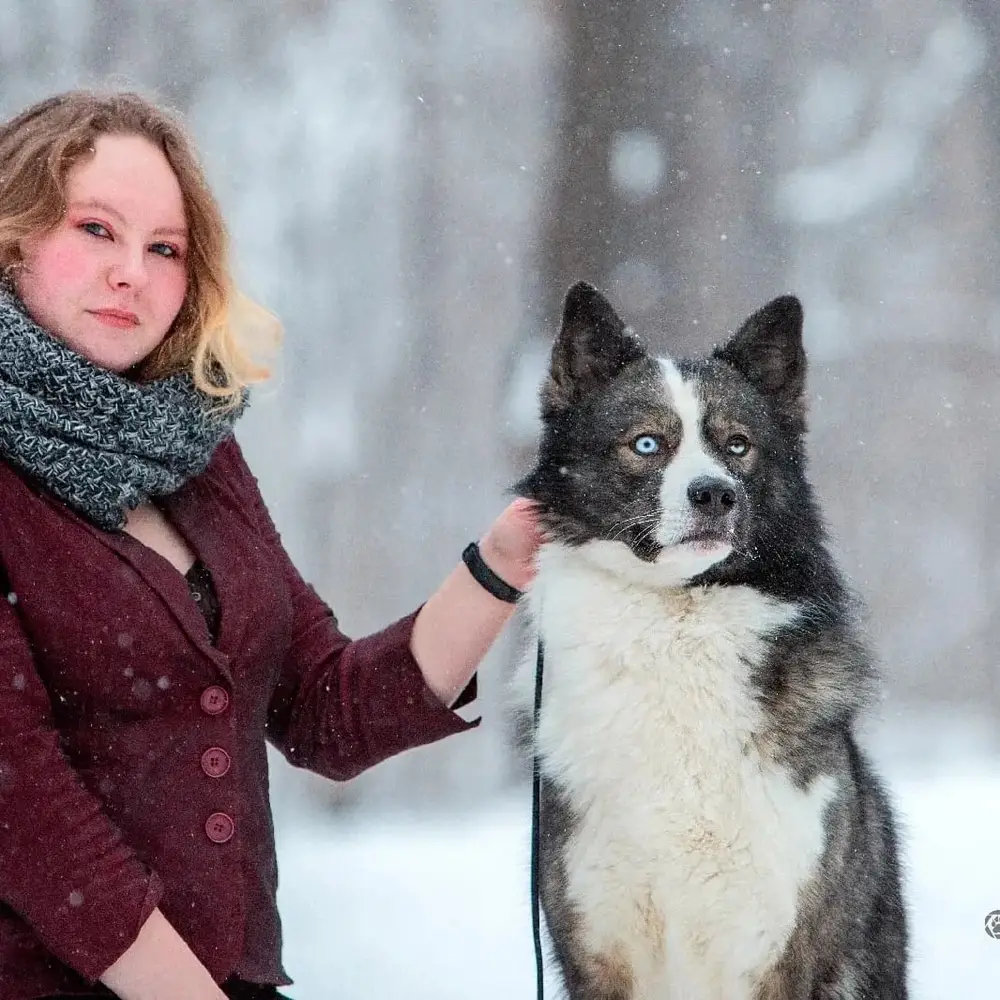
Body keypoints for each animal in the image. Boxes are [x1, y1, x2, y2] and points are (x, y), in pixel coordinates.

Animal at [511, 283, 909, 999]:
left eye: (738, 446)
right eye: (646, 444)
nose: (715, 494)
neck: (677, 619)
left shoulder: (778, 950)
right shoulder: (599, 952)